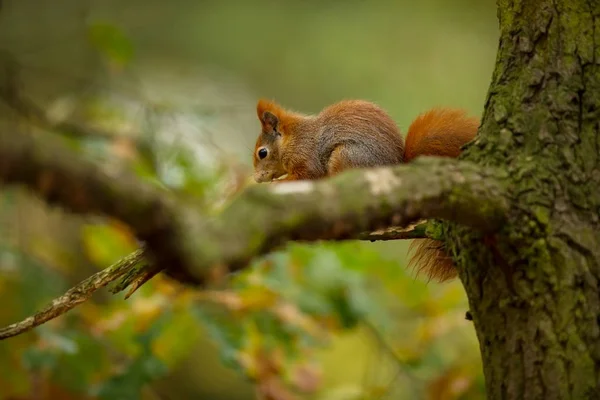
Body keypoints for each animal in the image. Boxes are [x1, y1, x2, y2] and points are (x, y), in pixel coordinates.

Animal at [252, 98, 478, 282]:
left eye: (262, 153)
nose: (256, 178)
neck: (293, 139)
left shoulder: (308, 160)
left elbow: (306, 176)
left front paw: (276, 184)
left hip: (346, 159)